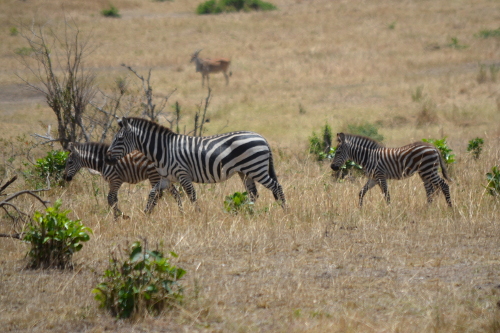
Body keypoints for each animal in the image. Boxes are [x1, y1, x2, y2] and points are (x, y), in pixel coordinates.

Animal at [104, 116, 286, 210]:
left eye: (119, 139)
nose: (106, 158)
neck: (164, 150)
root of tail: (261, 137)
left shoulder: (183, 174)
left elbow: (191, 196)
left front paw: (198, 215)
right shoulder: (166, 178)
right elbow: (152, 193)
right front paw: (147, 213)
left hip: (256, 168)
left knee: (277, 187)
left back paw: (285, 211)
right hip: (245, 172)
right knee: (253, 193)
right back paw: (249, 212)